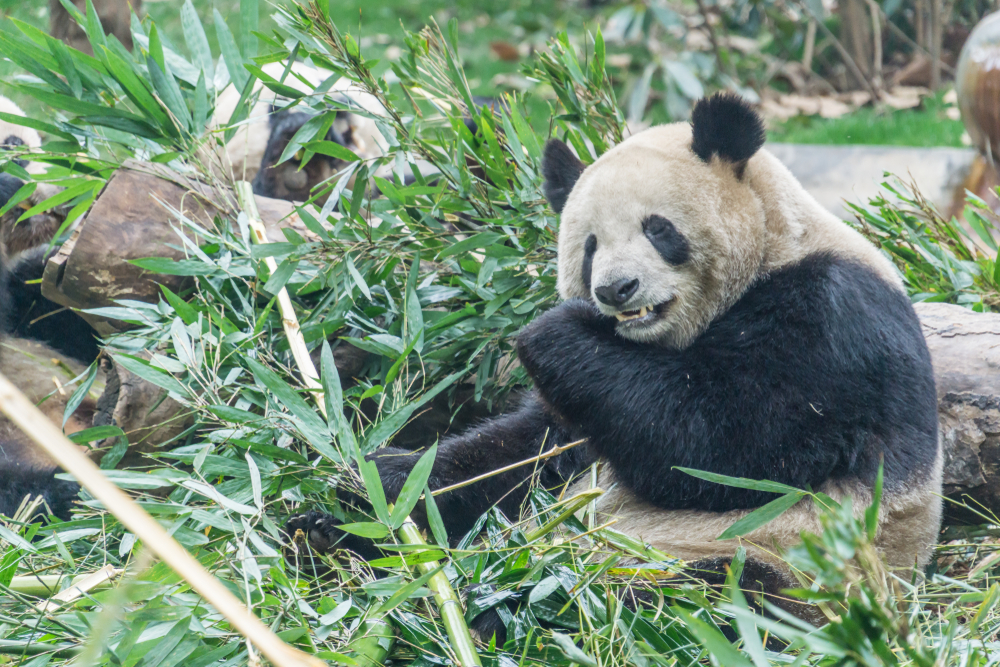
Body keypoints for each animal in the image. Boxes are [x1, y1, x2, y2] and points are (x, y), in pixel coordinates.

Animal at [287, 93, 942, 618]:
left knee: (702, 595)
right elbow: (522, 453)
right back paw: (330, 537)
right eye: (589, 246)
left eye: (658, 229)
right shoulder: (579, 418)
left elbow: (724, 450)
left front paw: (554, 330)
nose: (614, 290)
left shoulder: (832, 321)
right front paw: (370, 484)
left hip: (778, 561)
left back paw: (514, 606)